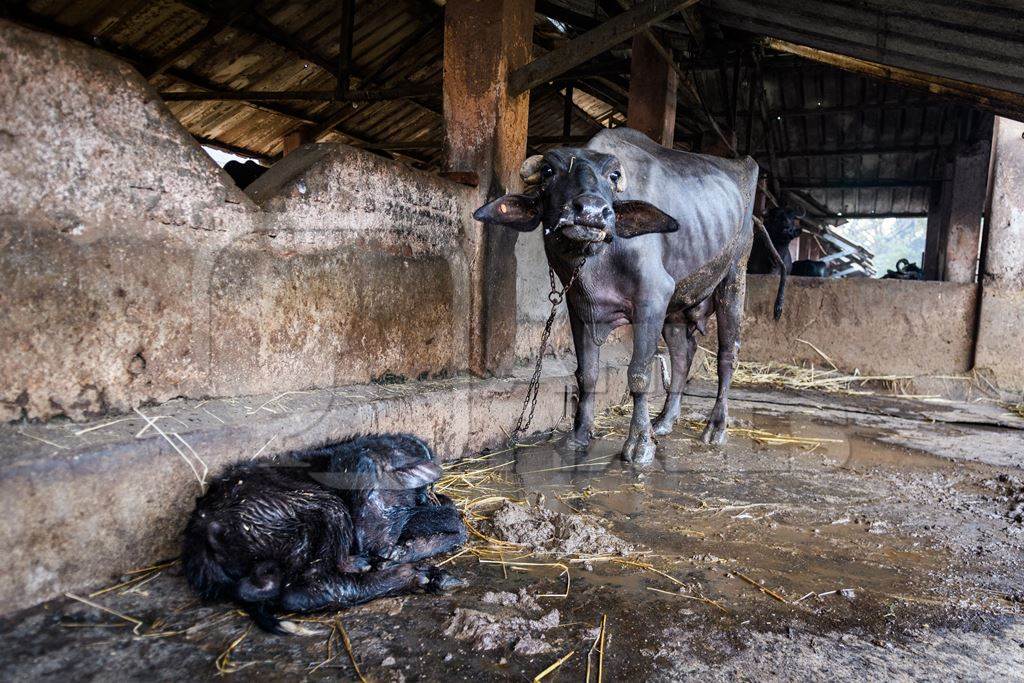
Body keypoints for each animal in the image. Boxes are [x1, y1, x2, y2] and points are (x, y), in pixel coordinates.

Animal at [471, 126, 782, 464]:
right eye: (549, 171)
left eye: (613, 175)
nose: (592, 211)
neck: (596, 260)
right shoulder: (579, 307)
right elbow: (587, 374)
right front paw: (579, 435)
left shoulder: (652, 297)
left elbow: (639, 374)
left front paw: (639, 444)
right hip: (676, 308)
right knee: (683, 355)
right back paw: (665, 421)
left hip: (734, 278)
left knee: (727, 356)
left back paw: (715, 427)